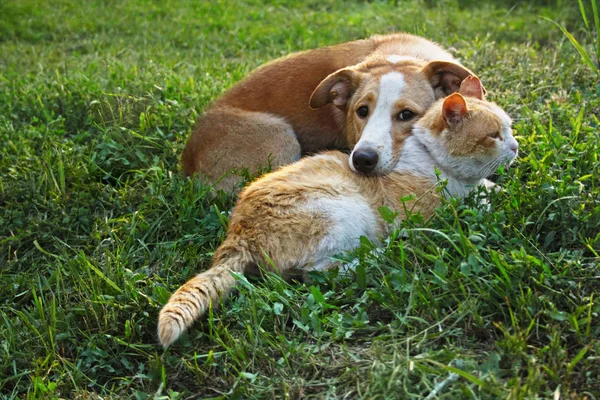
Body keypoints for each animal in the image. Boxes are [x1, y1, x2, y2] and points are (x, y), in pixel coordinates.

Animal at [157, 76, 516, 346]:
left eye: (510, 128)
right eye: (493, 136)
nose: (515, 146)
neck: (432, 158)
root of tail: (238, 235)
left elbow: (488, 189)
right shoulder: (430, 212)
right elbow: (475, 206)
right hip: (345, 212)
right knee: (317, 272)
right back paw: (384, 253)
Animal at [180, 32, 480, 191]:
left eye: (406, 115)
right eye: (361, 111)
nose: (362, 160)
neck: (400, 57)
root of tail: (187, 159)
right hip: (279, 135)